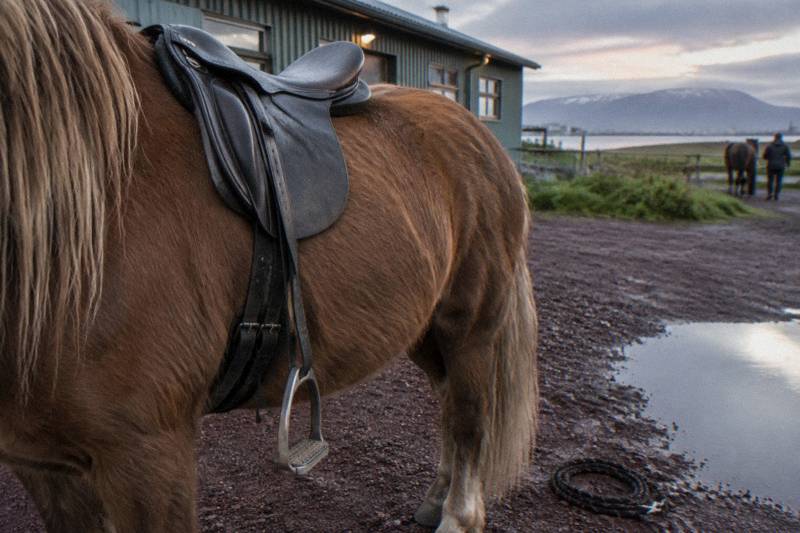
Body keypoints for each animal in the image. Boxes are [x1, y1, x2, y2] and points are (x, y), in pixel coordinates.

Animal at [0, 1, 538, 532]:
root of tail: (476, 131)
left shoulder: (149, 451)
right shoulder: (45, 464)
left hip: (470, 324)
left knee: (469, 415)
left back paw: (457, 513)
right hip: (425, 327)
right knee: (448, 401)